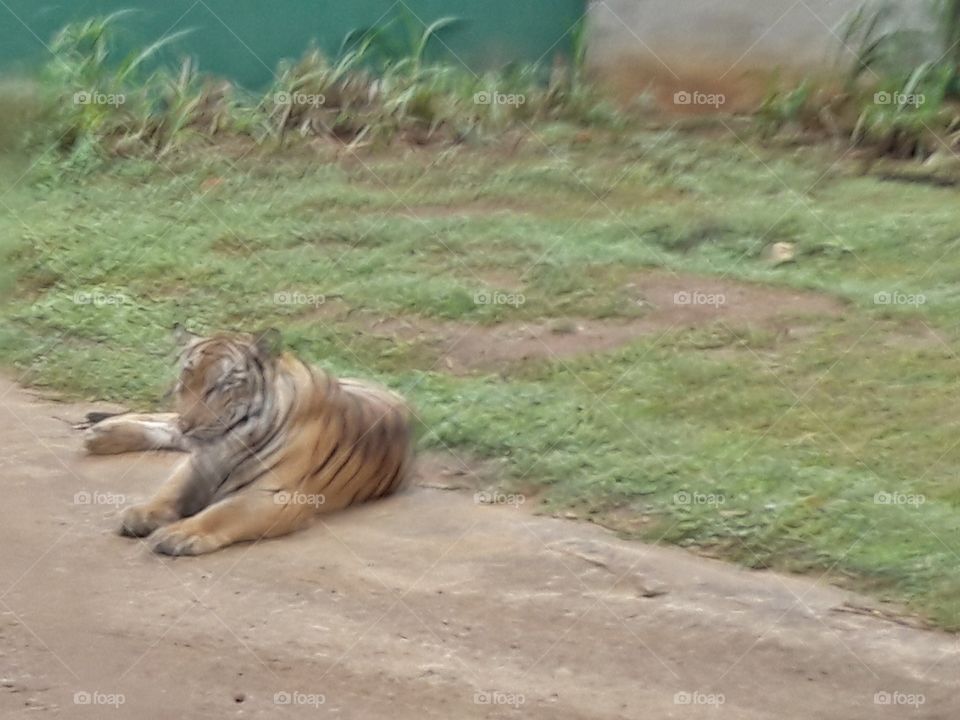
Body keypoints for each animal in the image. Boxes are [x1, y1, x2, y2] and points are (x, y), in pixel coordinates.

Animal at [84, 326, 413, 556]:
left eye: (223, 384)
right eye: (186, 379)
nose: (190, 426)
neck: (226, 444)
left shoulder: (277, 495)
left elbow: (223, 513)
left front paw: (179, 535)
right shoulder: (195, 464)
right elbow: (169, 491)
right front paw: (143, 514)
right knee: (166, 421)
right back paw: (101, 433)